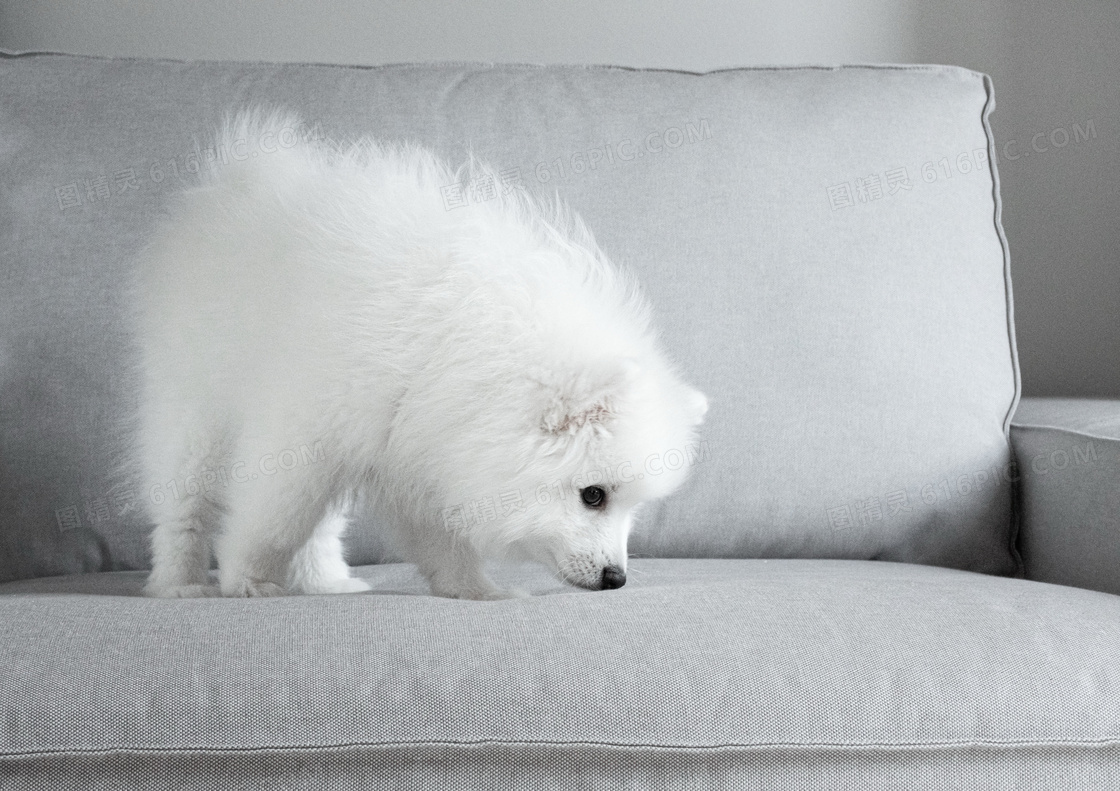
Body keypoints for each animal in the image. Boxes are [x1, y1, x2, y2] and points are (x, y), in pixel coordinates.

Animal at [135, 107, 703, 596]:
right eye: (594, 495)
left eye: (630, 507)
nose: (616, 579)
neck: (464, 349)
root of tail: (230, 182)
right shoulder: (307, 428)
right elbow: (273, 518)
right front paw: (247, 578)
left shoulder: (416, 442)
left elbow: (438, 539)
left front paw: (477, 591)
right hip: (192, 401)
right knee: (184, 503)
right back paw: (180, 583)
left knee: (321, 522)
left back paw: (325, 581)